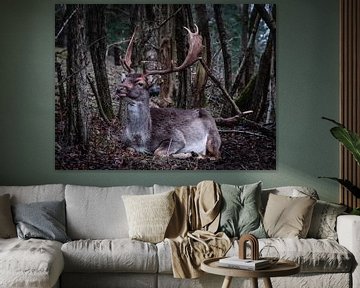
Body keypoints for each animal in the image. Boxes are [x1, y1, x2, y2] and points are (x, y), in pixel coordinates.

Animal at [116, 24, 221, 160]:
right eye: (124, 79)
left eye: (140, 83)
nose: (119, 88)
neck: (142, 139)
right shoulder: (124, 142)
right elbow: (129, 148)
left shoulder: (176, 137)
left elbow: (157, 152)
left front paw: (185, 153)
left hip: (213, 138)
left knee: (216, 155)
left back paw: (193, 154)